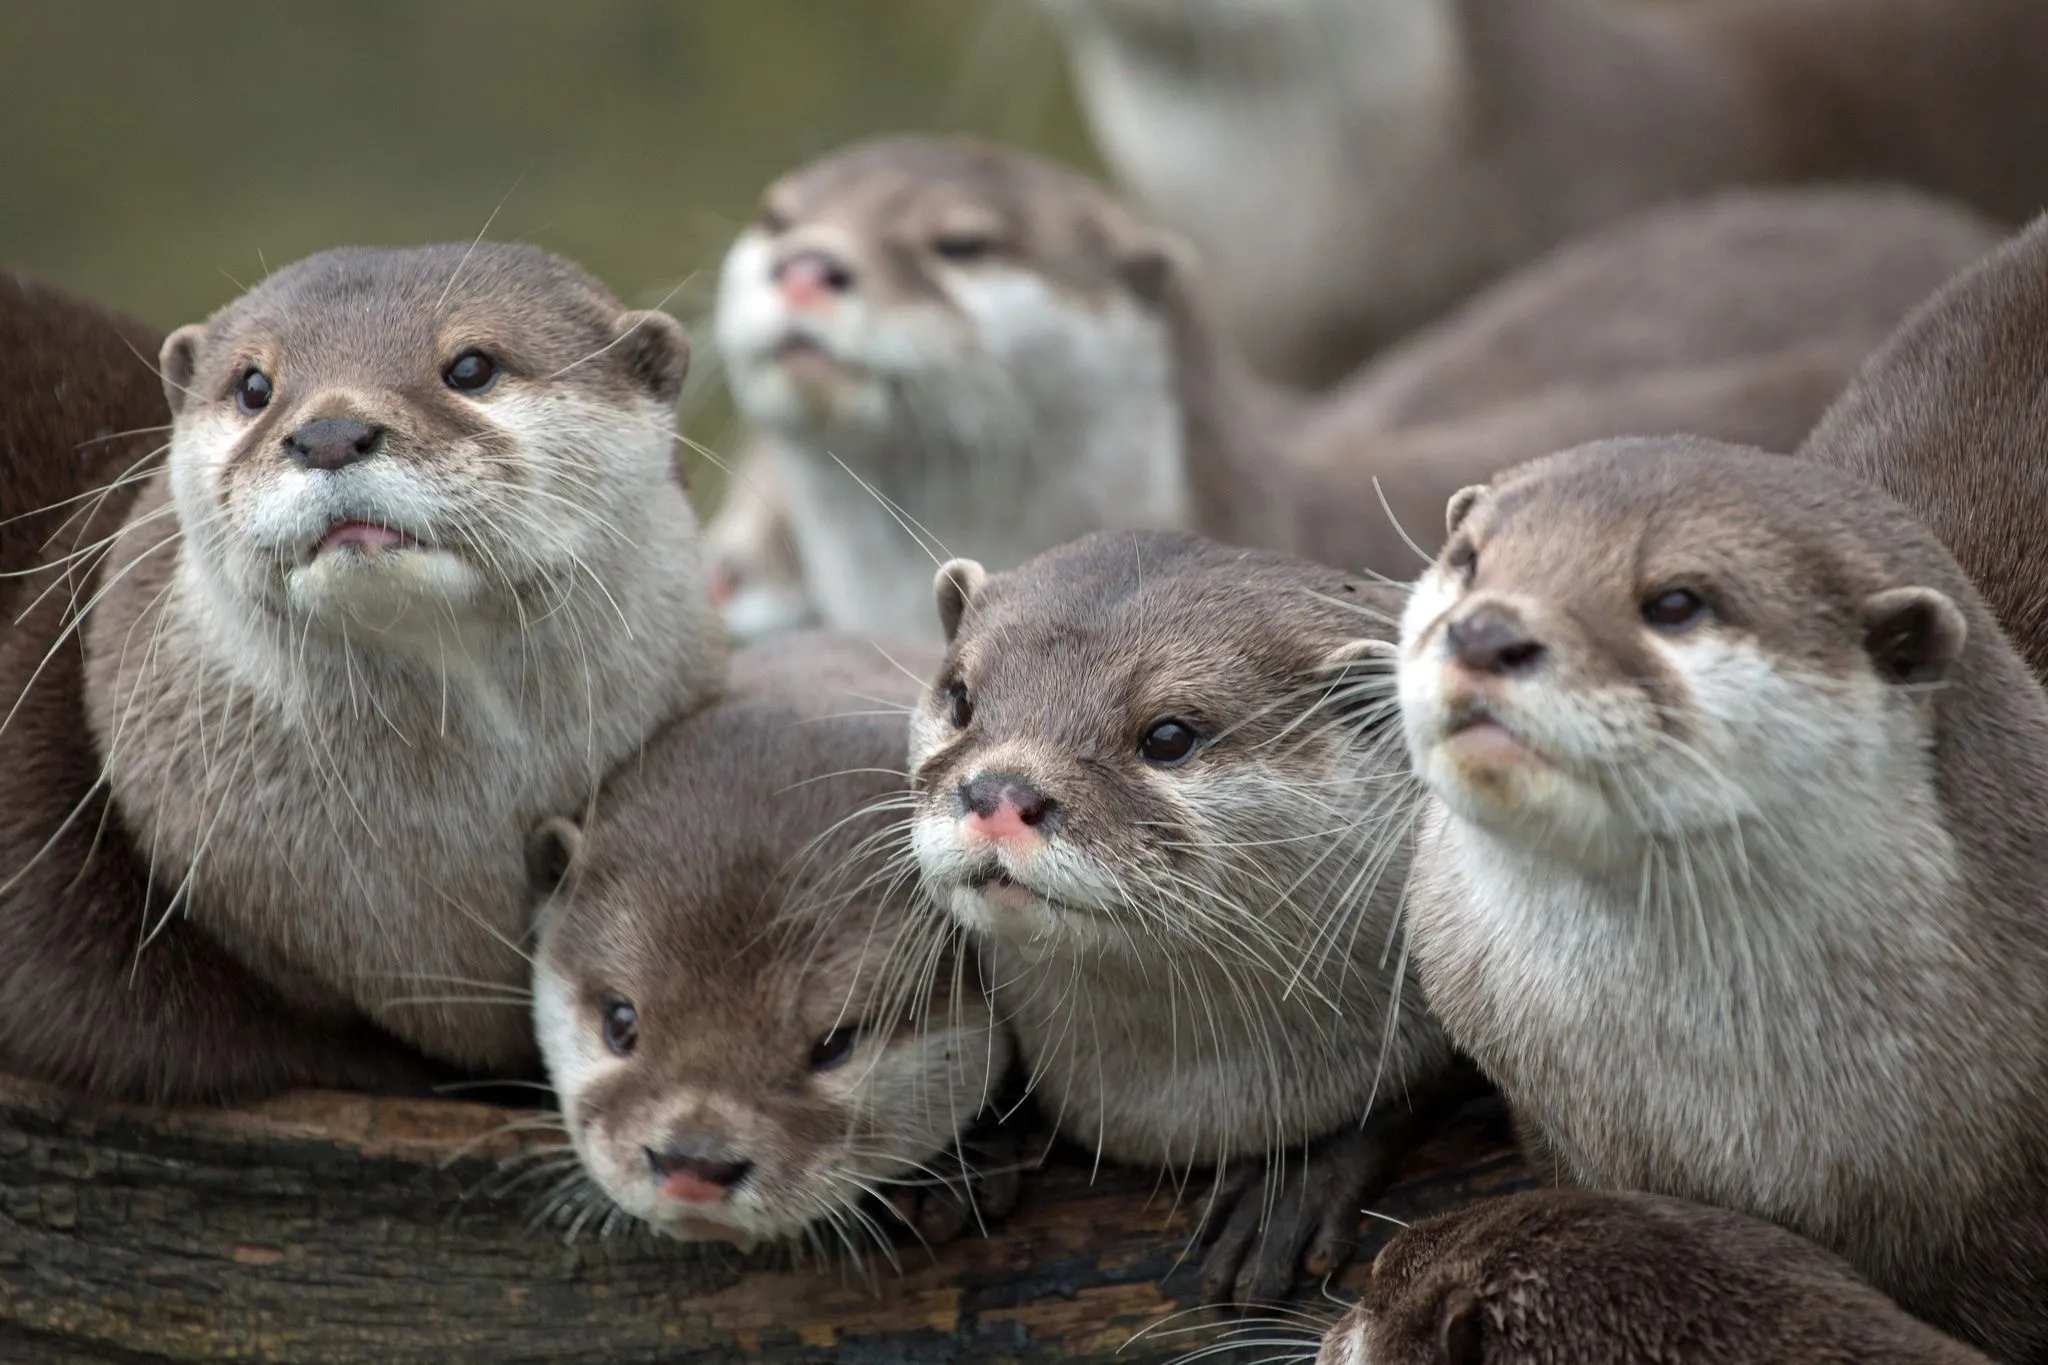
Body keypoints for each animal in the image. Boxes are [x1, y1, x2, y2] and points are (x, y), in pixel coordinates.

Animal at [906, 530, 1472, 1305]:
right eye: (961, 698)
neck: (1166, 1110)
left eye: (1169, 736)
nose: (997, 790)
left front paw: (1291, 1185)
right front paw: (978, 1140)